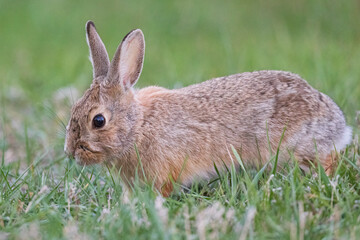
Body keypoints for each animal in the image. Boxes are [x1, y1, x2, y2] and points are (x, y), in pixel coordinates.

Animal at [64, 21, 352, 197]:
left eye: (98, 121)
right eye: (74, 109)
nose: (70, 152)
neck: (137, 127)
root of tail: (338, 124)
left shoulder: (165, 171)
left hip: (294, 146)